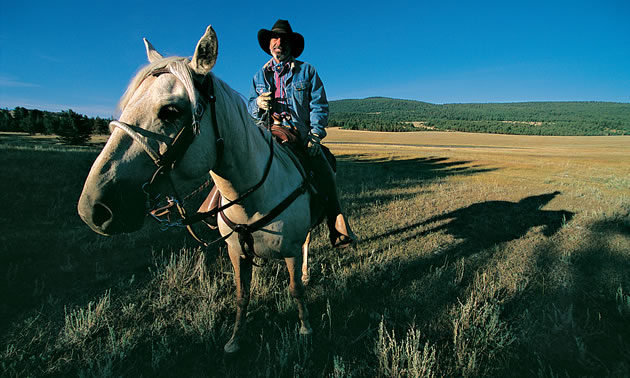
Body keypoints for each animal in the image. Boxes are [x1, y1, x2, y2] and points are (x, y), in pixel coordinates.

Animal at [78, 25, 316, 352]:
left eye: (170, 110)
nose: (93, 208)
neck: (253, 198)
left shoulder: (290, 250)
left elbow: (295, 290)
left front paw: (305, 328)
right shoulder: (235, 253)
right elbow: (242, 296)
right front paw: (234, 340)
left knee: (307, 243)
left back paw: (306, 274)